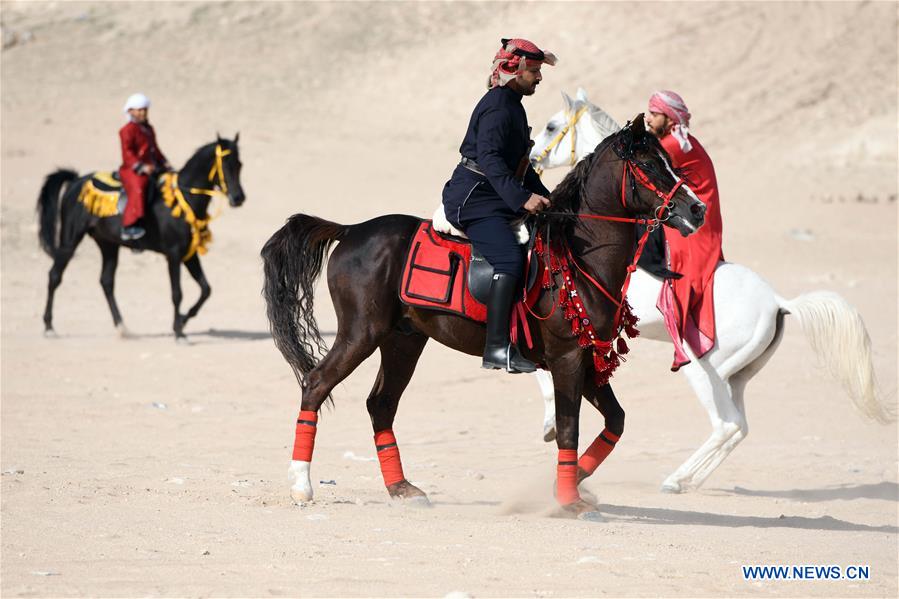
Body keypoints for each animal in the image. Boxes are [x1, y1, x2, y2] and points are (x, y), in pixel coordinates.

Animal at [36, 135, 246, 341]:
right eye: (225, 165)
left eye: (239, 164)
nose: (238, 198)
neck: (183, 200)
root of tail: (76, 181)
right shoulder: (173, 254)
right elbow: (177, 293)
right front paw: (178, 331)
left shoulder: (189, 254)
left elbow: (206, 289)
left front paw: (184, 320)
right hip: (70, 240)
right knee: (55, 276)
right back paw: (48, 327)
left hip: (108, 244)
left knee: (106, 281)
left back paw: (122, 327)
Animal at [261, 116, 707, 518]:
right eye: (648, 165)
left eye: (670, 161)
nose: (697, 209)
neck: (578, 255)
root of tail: (352, 230)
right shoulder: (566, 358)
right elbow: (568, 429)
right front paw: (569, 501)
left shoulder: (587, 359)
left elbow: (616, 421)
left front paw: (565, 486)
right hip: (360, 335)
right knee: (316, 384)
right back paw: (301, 485)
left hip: (403, 340)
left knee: (381, 404)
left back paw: (402, 488)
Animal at [529, 89, 895, 493]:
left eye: (552, 126)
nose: (532, 157)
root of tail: (779, 304)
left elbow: (543, 373)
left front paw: (549, 424)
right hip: (737, 375)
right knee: (739, 426)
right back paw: (686, 479)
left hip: (704, 369)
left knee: (727, 424)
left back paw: (675, 480)